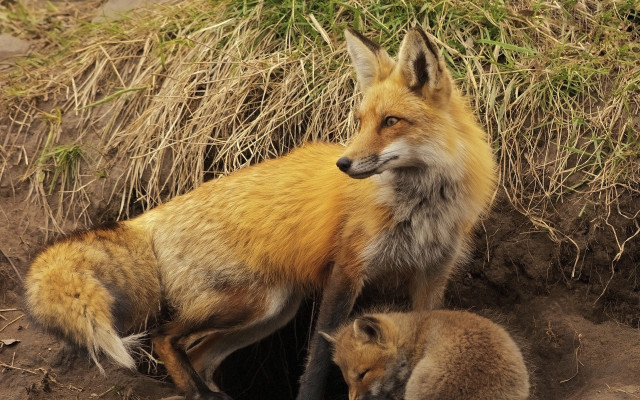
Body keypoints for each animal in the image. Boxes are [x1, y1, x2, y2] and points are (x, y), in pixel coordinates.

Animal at [24, 26, 496, 400]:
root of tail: (150, 216)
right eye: (360, 121)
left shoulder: (432, 274)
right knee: (163, 337)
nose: (343, 164)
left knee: (198, 353)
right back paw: (199, 393)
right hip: (251, 302)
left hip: (271, 312)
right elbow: (319, 359)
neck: (420, 208)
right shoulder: (347, 270)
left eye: (391, 121)